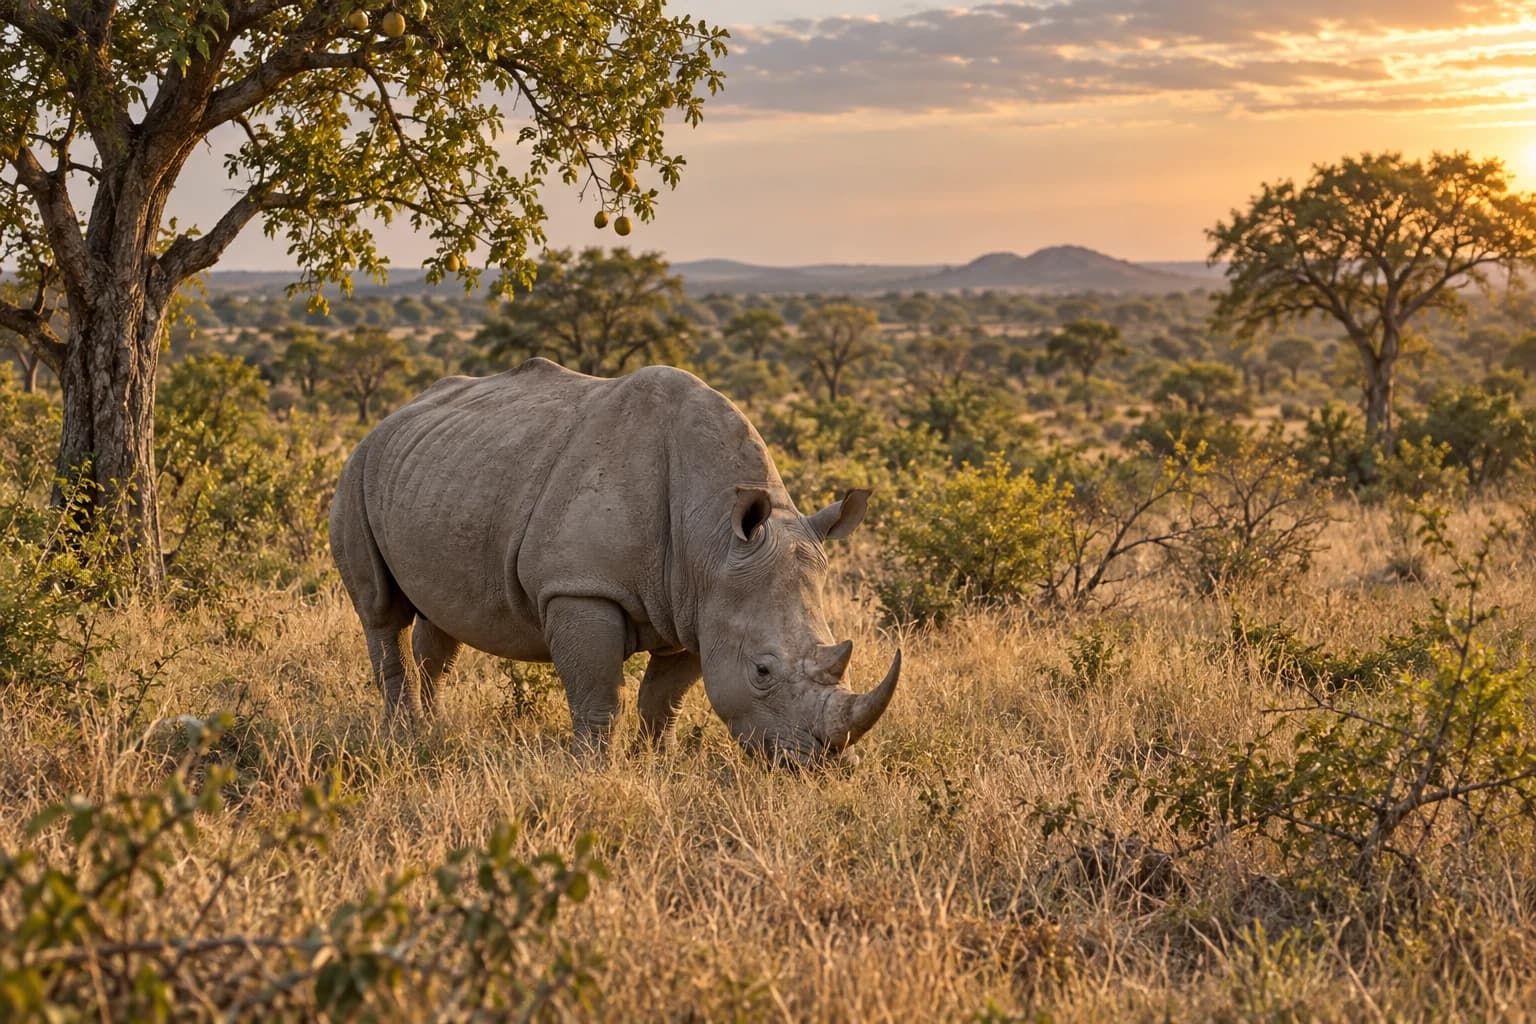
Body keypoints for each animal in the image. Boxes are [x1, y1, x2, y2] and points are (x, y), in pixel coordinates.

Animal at [328, 358, 899, 763]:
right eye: (762, 670)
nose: (817, 763)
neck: (713, 538)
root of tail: (393, 414)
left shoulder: (697, 604)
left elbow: (663, 699)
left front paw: (656, 762)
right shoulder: (581, 586)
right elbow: (598, 693)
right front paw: (591, 768)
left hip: (442, 471)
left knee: (440, 621)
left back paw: (432, 728)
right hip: (357, 470)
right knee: (381, 611)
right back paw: (403, 735)